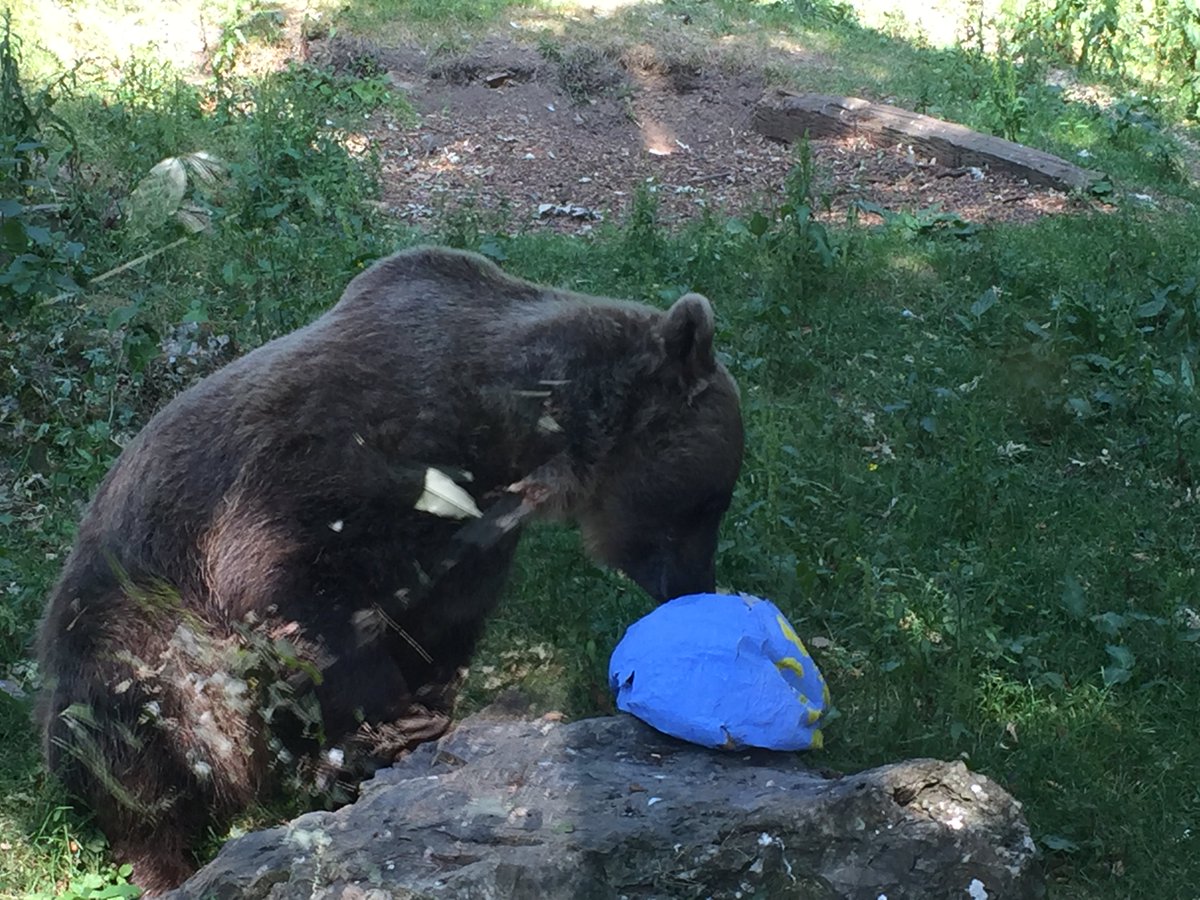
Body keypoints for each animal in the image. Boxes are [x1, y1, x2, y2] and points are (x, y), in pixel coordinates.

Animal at [35, 245, 744, 893]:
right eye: (707, 503)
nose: (694, 586)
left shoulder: (466, 544)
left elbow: (438, 630)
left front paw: (417, 727)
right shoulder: (319, 474)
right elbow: (297, 594)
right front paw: (397, 726)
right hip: (135, 625)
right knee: (148, 735)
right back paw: (168, 859)